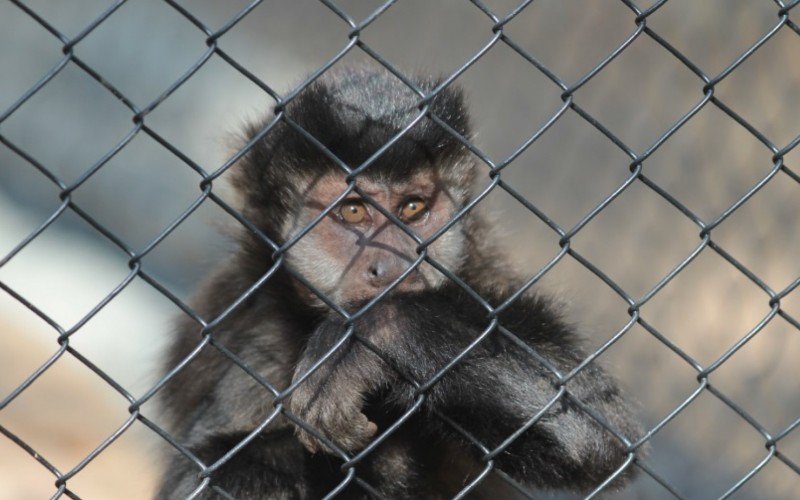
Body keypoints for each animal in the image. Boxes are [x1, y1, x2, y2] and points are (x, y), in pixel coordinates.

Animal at [156, 67, 644, 500]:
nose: (393, 267)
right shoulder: (254, 337)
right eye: (353, 211)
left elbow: (602, 434)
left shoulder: (483, 274)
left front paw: (368, 339)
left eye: (412, 208)